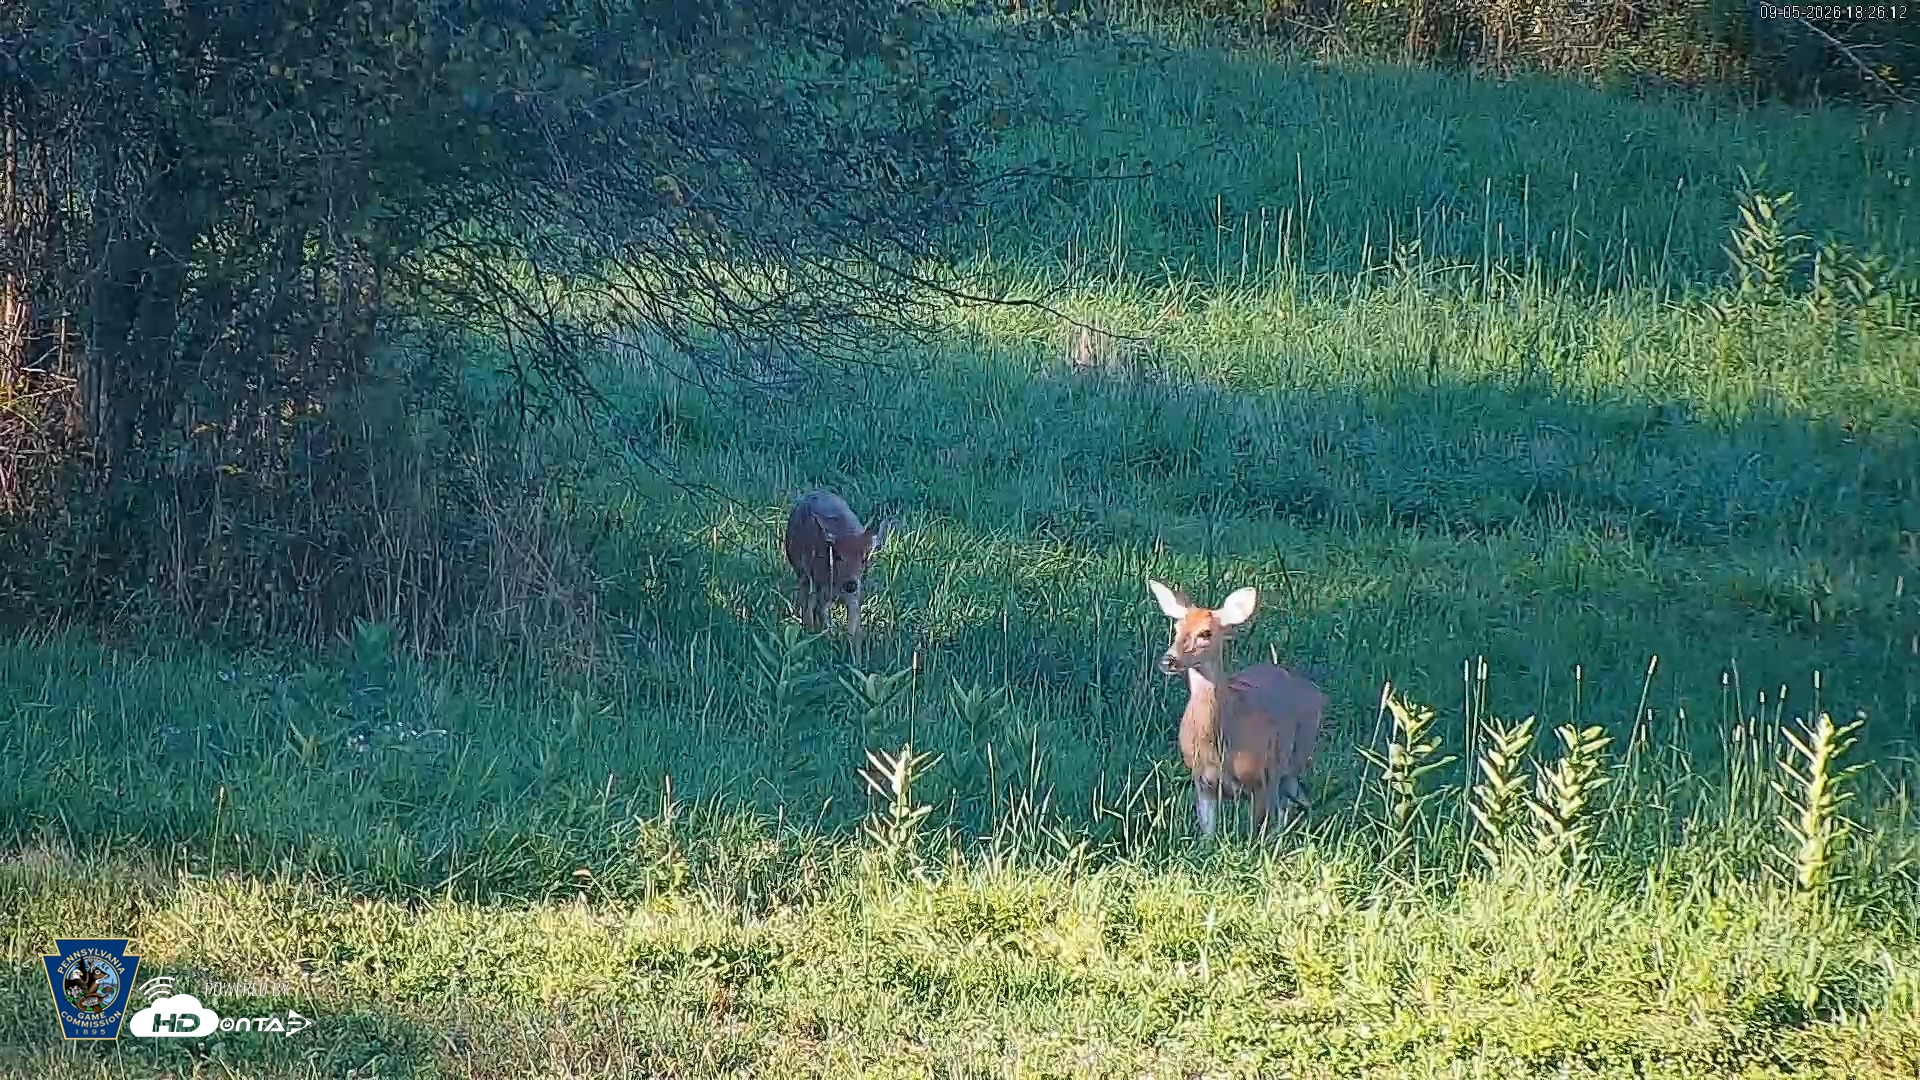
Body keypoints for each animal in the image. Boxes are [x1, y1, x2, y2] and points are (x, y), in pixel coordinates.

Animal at [784, 490, 899, 657]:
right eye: (838, 556)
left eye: (864, 558)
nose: (850, 584)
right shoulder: (817, 585)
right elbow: (816, 612)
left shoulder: (855, 593)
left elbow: (853, 630)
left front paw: (856, 658)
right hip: (803, 577)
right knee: (807, 604)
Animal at [1147, 578, 1326, 838]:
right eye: (1177, 628)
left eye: (1206, 632)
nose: (1168, 661)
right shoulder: (1202, 782)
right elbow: (1207, 836)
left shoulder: (1261, 779)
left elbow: (1254, 833)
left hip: (1297, 755)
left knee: (1291, 802)